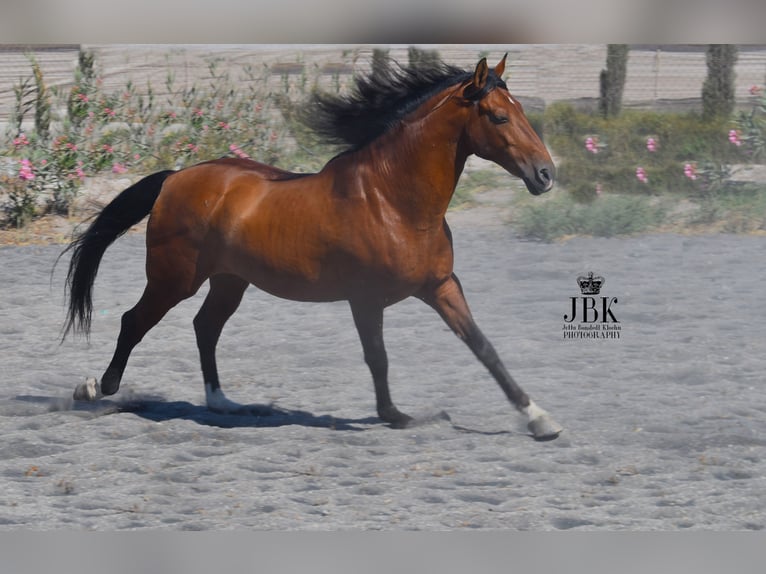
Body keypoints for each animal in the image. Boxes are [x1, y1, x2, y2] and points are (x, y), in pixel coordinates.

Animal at [64, 55, 564, 440]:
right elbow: (378, 356)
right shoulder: (365, 298)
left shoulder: (441, 286)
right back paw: (94, 389)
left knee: (205, 327)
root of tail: (175, 177)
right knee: (135, 321)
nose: (545, 175)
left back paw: (224, 402)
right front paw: (397, 416)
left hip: (229, 281)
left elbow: (483, 347)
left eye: (520, 110)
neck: (392, 201)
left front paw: (540, 420)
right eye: (498, 116)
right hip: (175, 278)